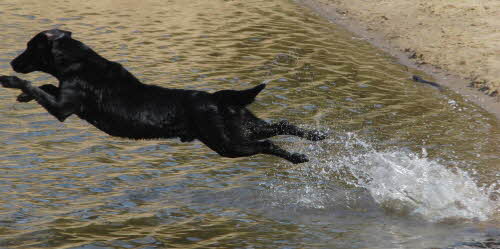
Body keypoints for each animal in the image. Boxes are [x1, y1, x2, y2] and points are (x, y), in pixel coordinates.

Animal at [0, 29, 326, 163]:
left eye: (29, 47)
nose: (12, 62)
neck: (77, 61)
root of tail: (217, 99)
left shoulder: (63, 109)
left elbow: (34, 85)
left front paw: (10, 81)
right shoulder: (62, 100)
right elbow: (45, 87)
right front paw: (23, 96)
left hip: (227, 144)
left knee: (268, 143)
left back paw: (298, 157)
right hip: (242, 126)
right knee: (282, 125)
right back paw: (315, 140)